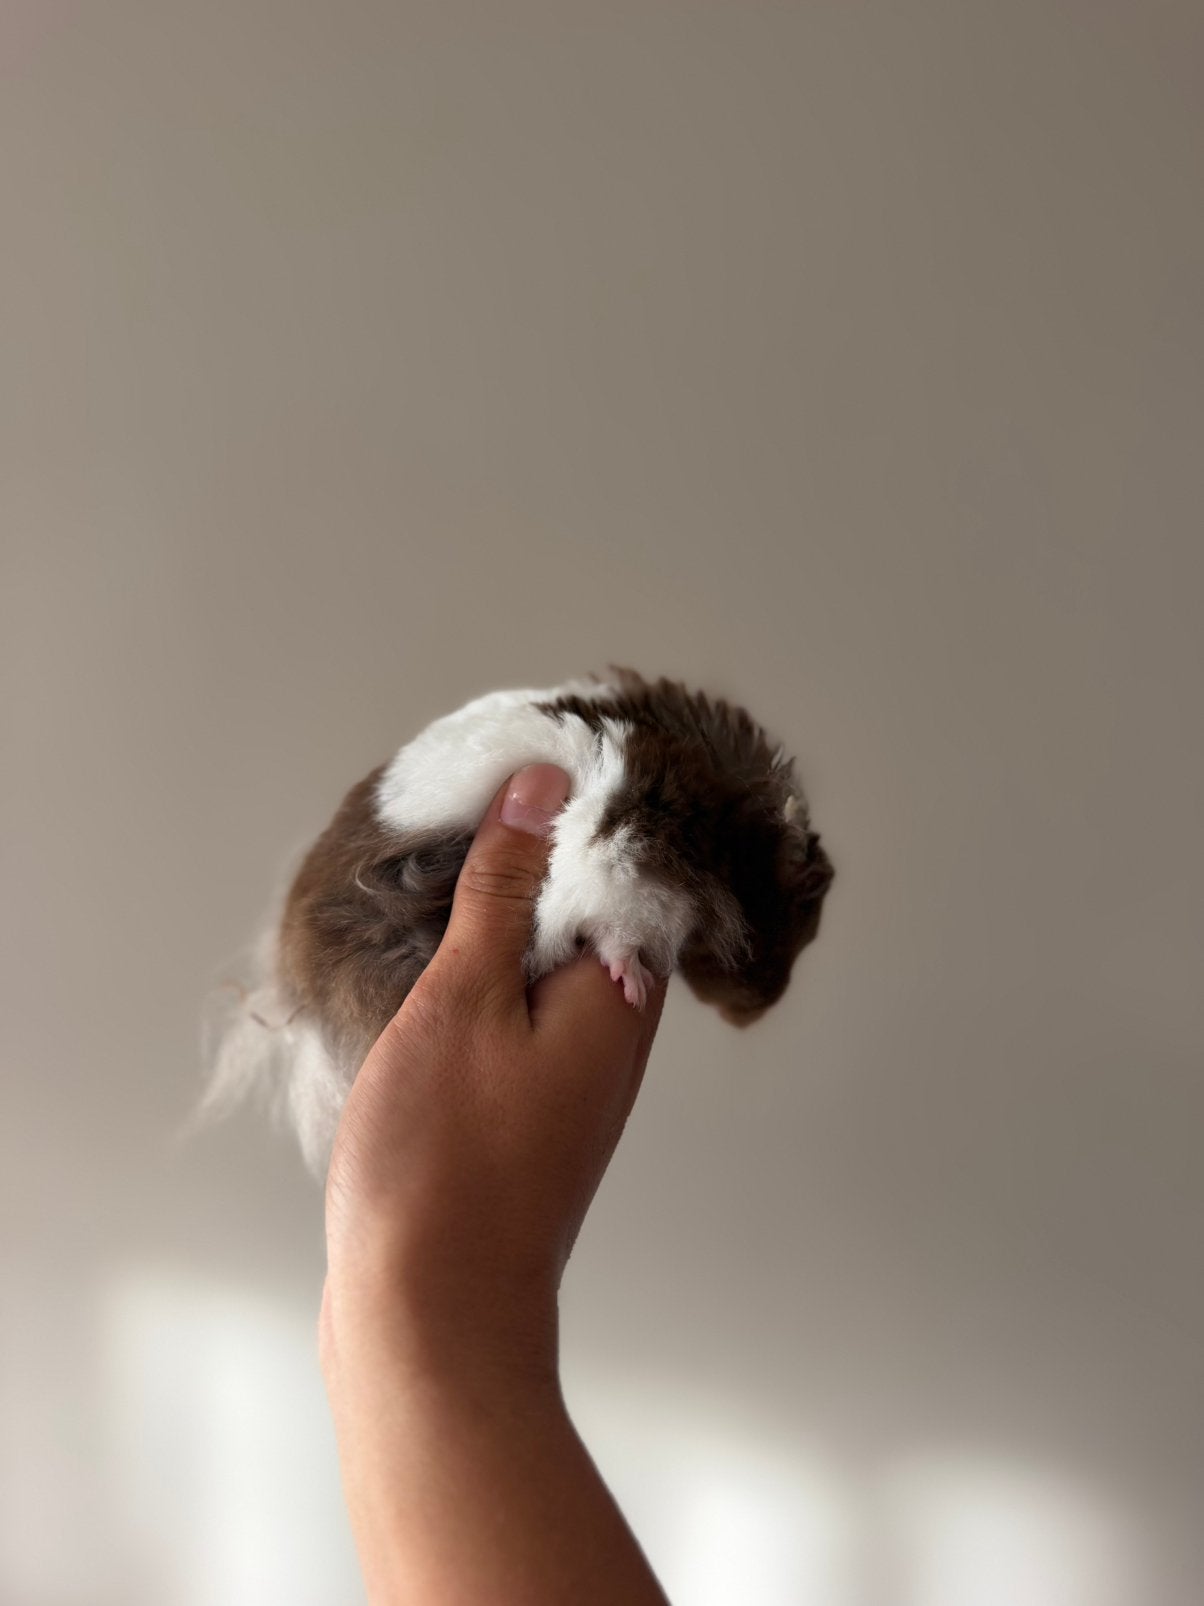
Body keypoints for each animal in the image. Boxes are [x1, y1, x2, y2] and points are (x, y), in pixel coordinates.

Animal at [203, 668, 834, 1175]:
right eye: (797, 920)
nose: (748, 1020)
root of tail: (296, 979)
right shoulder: (617, 865)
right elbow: (615, 928)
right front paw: (631, 985)